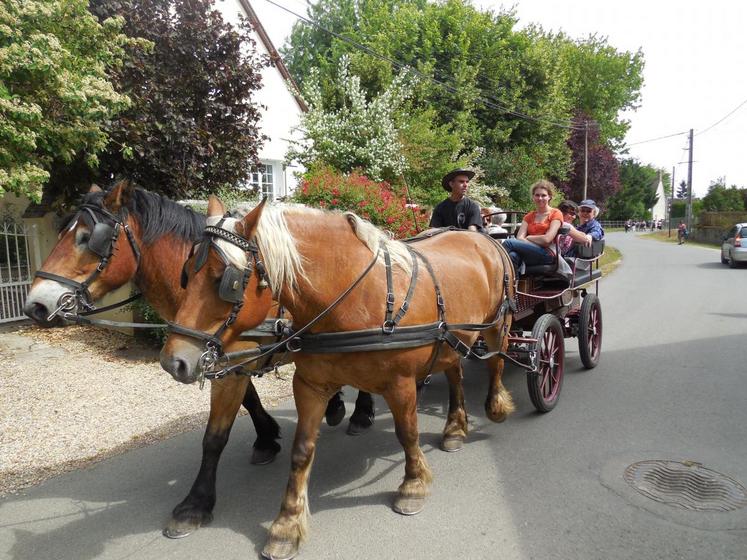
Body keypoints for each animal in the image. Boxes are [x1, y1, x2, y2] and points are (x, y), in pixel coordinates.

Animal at [161, 198, 516, 560]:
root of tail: (481, 236)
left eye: (226, 280)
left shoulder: (400, 384)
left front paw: (413, 485)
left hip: (498, 324)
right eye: (187, 273)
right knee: (456, 373)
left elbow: (408, 433)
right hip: (452, 340)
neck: (356, 297)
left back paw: (495, 405)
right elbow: (301, 451)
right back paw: (455, 427)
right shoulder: (310, 385)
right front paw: (287, 524)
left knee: (496, 363)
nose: (174, 361)